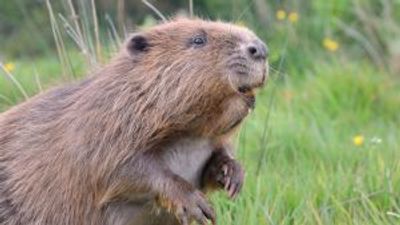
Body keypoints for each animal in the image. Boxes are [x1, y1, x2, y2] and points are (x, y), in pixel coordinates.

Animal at [0, 18, 268, 225]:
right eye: (198, 40)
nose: (260, 48)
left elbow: (215, 160)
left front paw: (233, 175)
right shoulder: (97, 132)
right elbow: (125, 171)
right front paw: (197, 206)